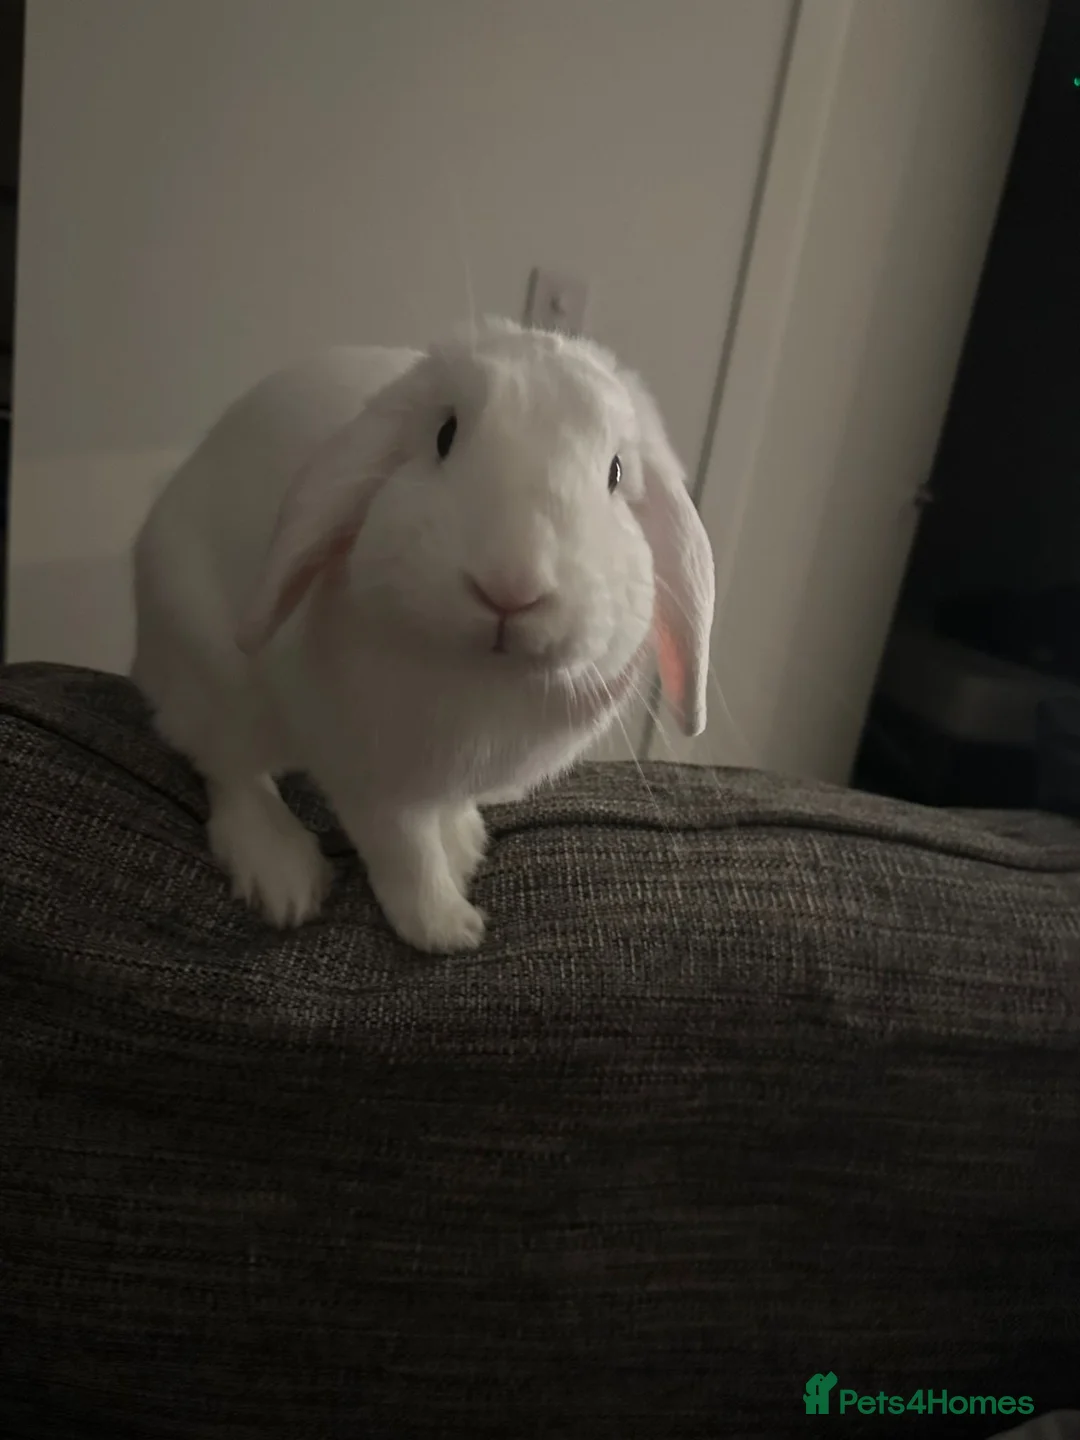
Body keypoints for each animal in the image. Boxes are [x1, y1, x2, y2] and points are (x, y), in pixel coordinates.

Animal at [131, 317, 715, 953]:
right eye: (445, 434)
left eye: (615, 473)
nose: (510, 586)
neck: (482, 678)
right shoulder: (368, 776)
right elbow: (405, 853)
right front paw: (448, 930)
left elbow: (444, 815)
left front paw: (462, 848)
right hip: (212, 674)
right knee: (226, 766)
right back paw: (282, 877)